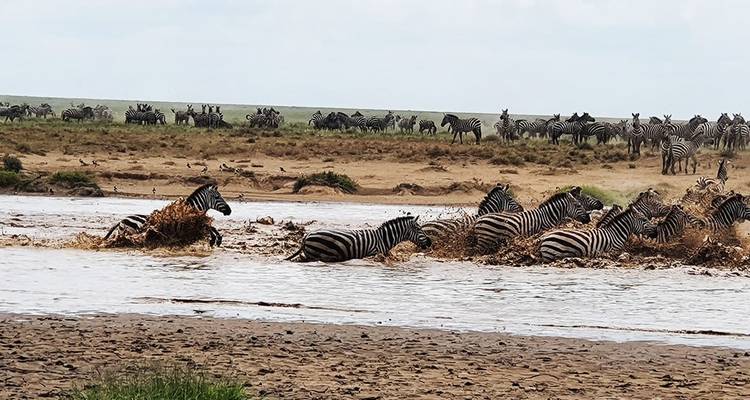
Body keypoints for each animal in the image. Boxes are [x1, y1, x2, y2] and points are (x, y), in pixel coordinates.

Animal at [104, 184, 232, 246]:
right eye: (217, 197)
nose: (229, 211)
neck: (188, 210)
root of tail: (121, 220)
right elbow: (210, 227)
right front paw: (216, 239)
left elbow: (211, 227)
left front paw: (216, 239)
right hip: (128, 233)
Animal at [285, 215, 432, 262]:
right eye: (419, 229)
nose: (430, 242)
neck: (383, 238)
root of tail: (307, 236)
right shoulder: (373, 253)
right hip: (317, 254)